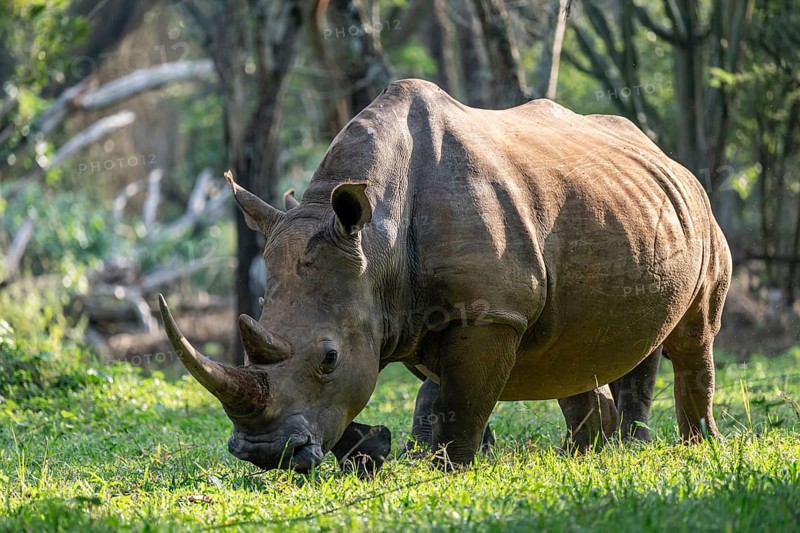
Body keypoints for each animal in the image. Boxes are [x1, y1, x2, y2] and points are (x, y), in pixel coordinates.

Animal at [159, 79, 730, 472]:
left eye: (328, 359)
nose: (265, 453)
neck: (376, 242)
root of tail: (664, 155)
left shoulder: (490, 312)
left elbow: (459, 400)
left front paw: (448, 468)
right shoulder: (401, 313)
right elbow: (429, 394)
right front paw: (385, 451)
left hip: (701, 211)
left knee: (693, 335)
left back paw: (692, 447)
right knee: (578, 350)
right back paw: (589, 454)